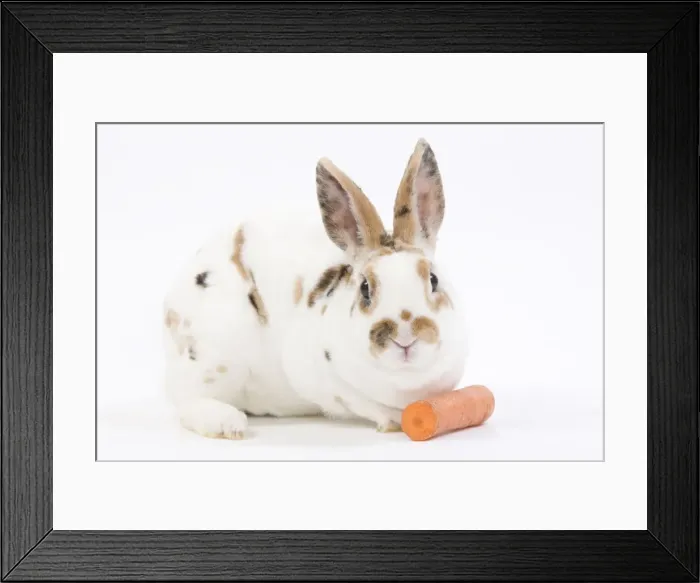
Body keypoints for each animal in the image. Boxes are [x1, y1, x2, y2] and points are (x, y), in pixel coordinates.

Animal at [162, 138, 468, 439]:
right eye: (365, 288)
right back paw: (228, 423)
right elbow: (357, 401)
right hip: (213, 357)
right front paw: (392, 420)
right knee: (189, 400)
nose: (405, 335)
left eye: (433, 279)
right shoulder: (319, 376)